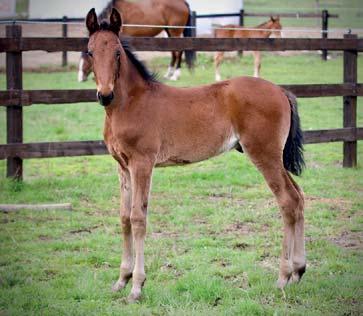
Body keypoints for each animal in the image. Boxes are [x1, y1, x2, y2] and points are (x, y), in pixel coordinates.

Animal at [86, 8, 306, 302]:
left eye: (118, 53)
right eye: (89, 52)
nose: (105, 95)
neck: (130, 103)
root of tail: (281, 90)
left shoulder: (143, 163)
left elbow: (138, 218)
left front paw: (137, 286)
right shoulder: (122, 166)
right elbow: (123, 218)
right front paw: (121, 279)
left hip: (265, 154)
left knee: (287, 201)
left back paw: (283, 277)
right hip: (276, 158)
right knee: (299, 197)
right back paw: (298, 271)